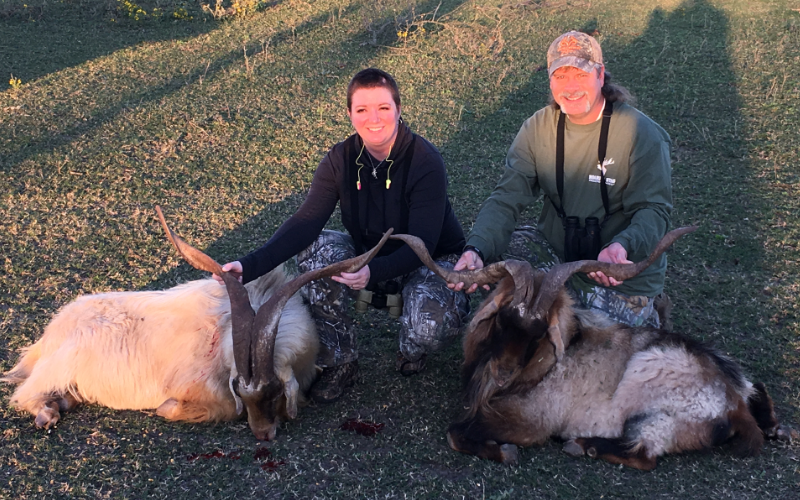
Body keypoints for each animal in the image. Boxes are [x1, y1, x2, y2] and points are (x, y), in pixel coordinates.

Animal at [394, 229, 780, 470]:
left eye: (539, 333)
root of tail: (733, 404)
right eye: (503, 319)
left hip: (652, 397)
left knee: (644, 456)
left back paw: (581, 445)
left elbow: (456, 433)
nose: (503, 373)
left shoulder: (531, 422)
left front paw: (504, 453)